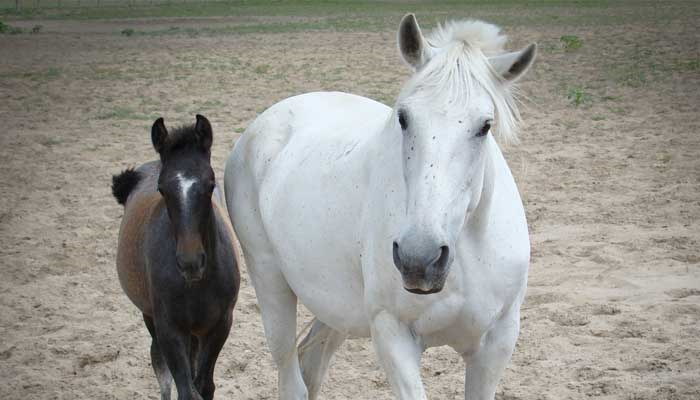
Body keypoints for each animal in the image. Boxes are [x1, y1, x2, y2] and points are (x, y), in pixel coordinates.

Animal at [224, 13, 536, 400]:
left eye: (485, 125)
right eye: (403, 118)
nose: (420, 259)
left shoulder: (497, 342)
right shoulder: (392, 334)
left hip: (335, 307)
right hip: (271, 283)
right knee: (290, 374)